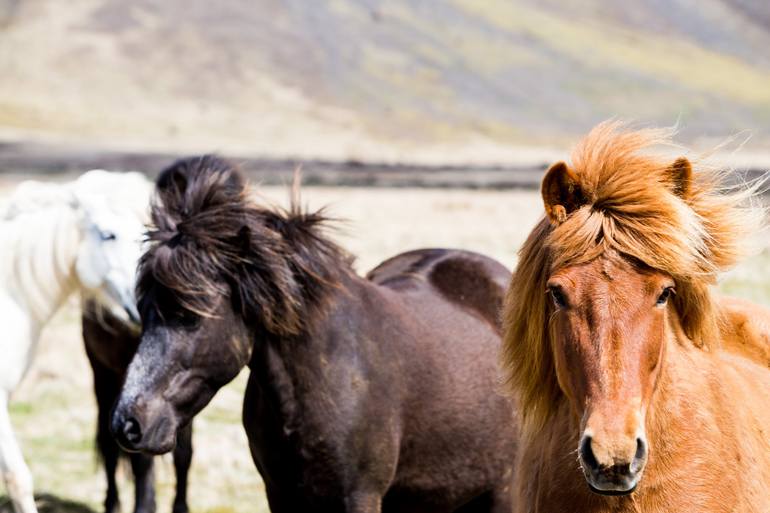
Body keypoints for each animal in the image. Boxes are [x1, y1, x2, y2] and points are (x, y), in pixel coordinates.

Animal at [82, 296, 192, 512]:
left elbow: (184, 454)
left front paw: (181, 507)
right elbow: (141, 460)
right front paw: (145, 506)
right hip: (102, 376)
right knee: (109, 448)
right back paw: (113, 504)